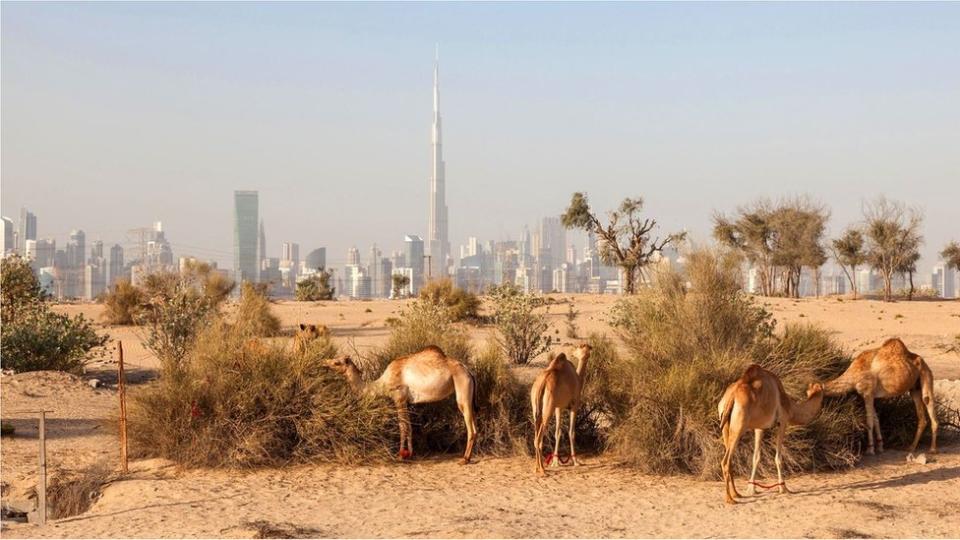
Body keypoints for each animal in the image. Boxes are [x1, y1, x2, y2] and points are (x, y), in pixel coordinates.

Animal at [324, 346, 478, 464]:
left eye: (337, 363)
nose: (325, 363)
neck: (381, 384)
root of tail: (469, 372)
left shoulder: (398, 397)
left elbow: (402, 426)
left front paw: (400, 455)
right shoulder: (405, 401)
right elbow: (409, 426)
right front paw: (410, 454)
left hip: (462, 387)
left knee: (470, 427)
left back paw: (464, 459)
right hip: (468, 393)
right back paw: (468, 457)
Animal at [528, 344, 588, 474]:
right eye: (578, 347)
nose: (573, 351)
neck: (578, 379)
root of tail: (542, 382)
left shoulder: (558, 407)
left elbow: (558, 432)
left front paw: (555, 461)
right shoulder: (574, 405)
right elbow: (571, 432)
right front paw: (576, 461)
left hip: (536, 408)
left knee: (535, 436)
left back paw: (537, 468)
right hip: (548, 409)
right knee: (539, 438)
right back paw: (542, 470)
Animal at [720, 364, 824, 504]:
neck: (791, 408)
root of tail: (731, 396)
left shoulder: (760, 427)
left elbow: (756, 457)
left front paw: (752, 489)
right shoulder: (783, 422)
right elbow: (778, 458)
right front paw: (784, 488)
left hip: (725, 424)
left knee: (729, 459)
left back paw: (737, 494)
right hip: (739, 425)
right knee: (725, 461)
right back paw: (729, 499)